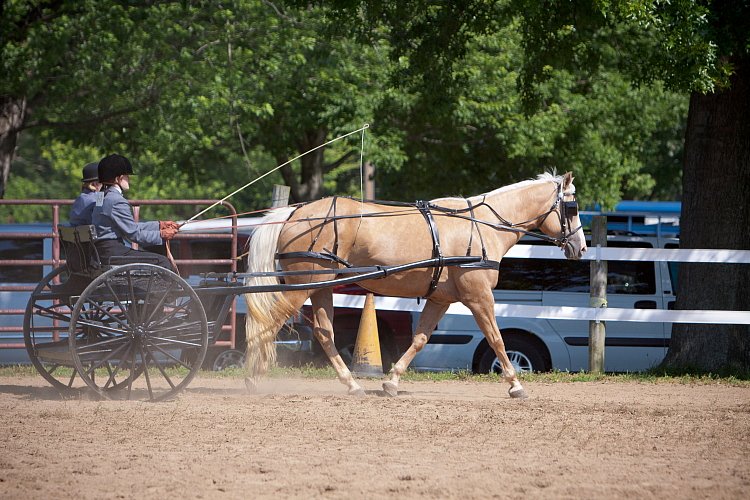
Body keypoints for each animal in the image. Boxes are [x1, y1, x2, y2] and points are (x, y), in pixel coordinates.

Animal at [245, 172, 588, 398]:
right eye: (571, 207)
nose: (581, 247)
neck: (482, 226)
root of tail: (295, 212)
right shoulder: (479, 297)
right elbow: (497, 339)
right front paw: (516, 384)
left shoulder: (440, 299)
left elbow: (420, 339)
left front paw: (392, 381)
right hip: (304, 285)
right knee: (270, 324)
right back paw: (255, 377)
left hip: (321, 287)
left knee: (324, 333)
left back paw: (352, 384)